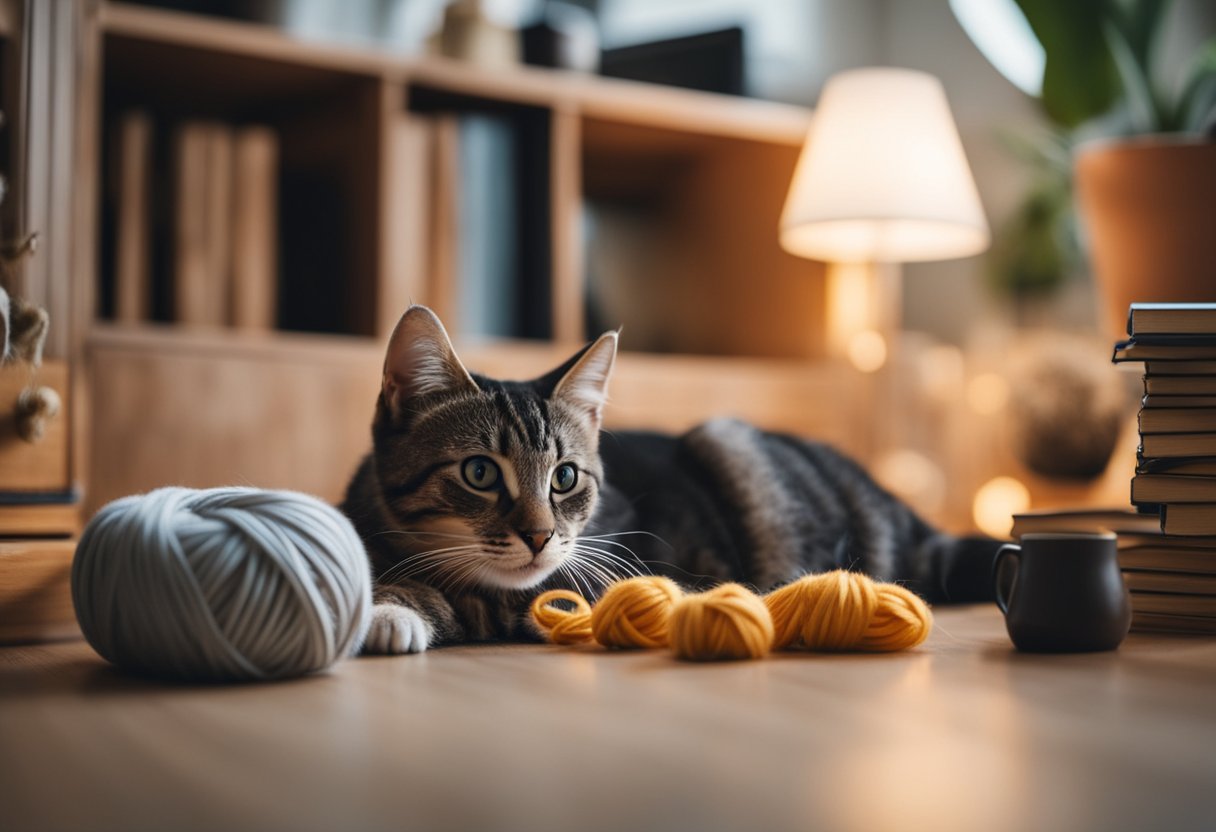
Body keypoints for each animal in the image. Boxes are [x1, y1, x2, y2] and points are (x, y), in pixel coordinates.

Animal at [340, 305, 997, 656]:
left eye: (564, 477)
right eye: (479, 471)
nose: (540, 536)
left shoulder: (615, 573)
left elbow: (492, 600)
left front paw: (397, 609)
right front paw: (388, 601)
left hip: (728, 441)